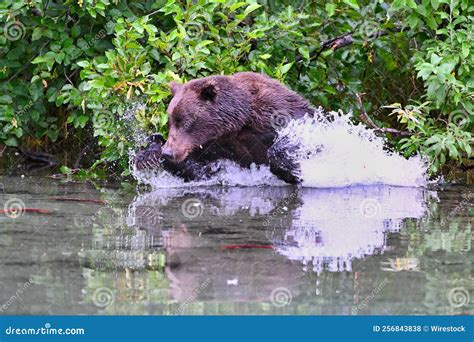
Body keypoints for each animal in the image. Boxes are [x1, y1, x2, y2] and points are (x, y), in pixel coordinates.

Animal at [134, 72, 312, 184]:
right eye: (170, 122)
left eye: (185, 122)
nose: (168, 152)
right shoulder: (218, 147)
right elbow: (200, 171)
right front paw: (149, 152)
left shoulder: (276, 114)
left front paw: (289, 169)